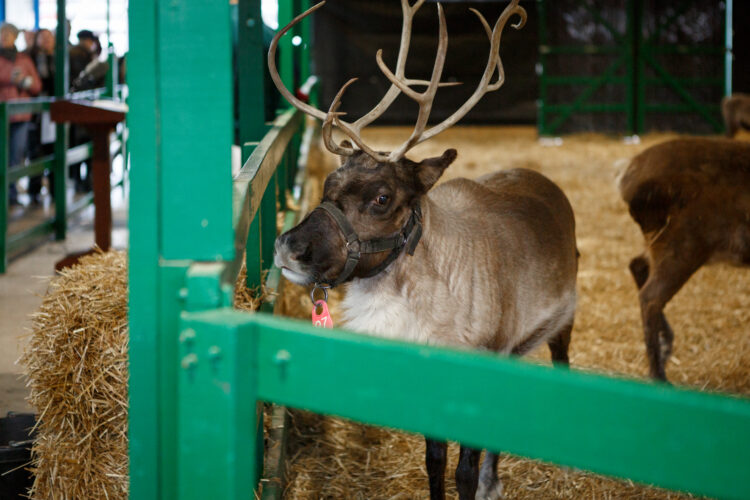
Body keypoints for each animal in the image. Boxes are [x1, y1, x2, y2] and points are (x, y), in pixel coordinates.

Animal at [269, 2, 579, 499]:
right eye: (328, 184)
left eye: (382, 198)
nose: (288, 245)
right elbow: (434, 461)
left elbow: (462, 471)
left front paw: (476, 480)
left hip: (564, 319)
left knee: (562, 362)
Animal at [619, 137, 750, 382]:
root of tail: (626, 177)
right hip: (684, 244)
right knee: (651, 295)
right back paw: (660, 375)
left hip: (660, 242)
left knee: (638, 265)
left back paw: (666, 347)